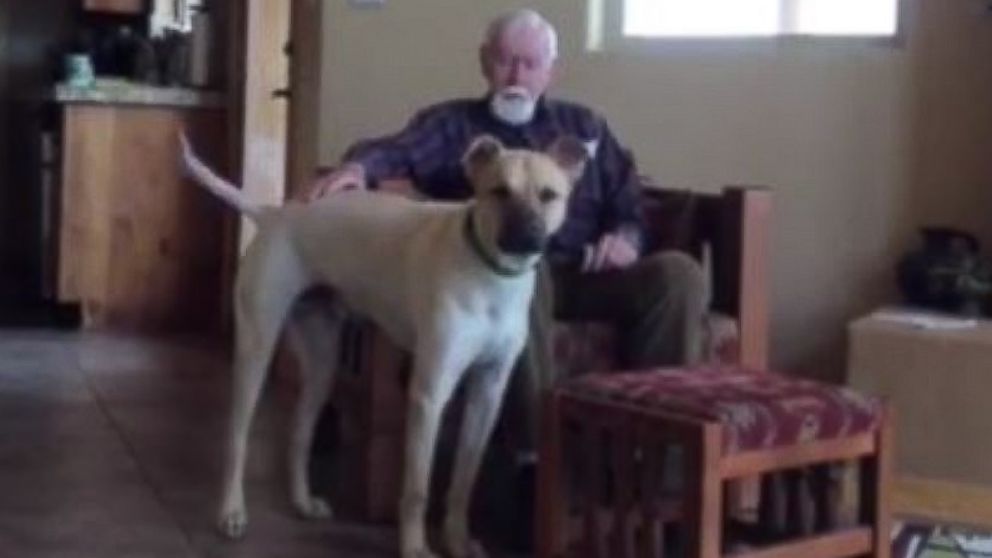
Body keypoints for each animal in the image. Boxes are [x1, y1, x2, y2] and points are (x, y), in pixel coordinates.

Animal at [178, 135, 584, 558]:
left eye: (549, 195)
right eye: (499, 191)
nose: (529, 233)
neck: (489, 272)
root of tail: (274, 215)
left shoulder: (487, 393)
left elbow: (463, 482)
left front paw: (458, 541)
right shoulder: (429, 394)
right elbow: (418, 488)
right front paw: (415, 547)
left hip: (323, 364)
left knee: (300, 435)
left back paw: (302, 501)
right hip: (256, 349)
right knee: (236, 437)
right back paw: (231, 511)